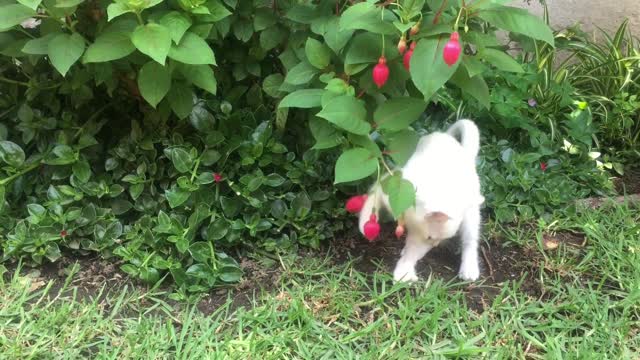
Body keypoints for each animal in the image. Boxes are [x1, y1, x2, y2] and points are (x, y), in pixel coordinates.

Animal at [360, 119, 484, 282]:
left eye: (435, 239)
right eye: (431, 238)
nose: (436, 245)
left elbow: (414, 252)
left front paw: (404, 271)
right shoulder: (389, 184)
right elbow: (372, 199)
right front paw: (365, 223)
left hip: (471, 212)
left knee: (470, 239)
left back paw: (469, 268)